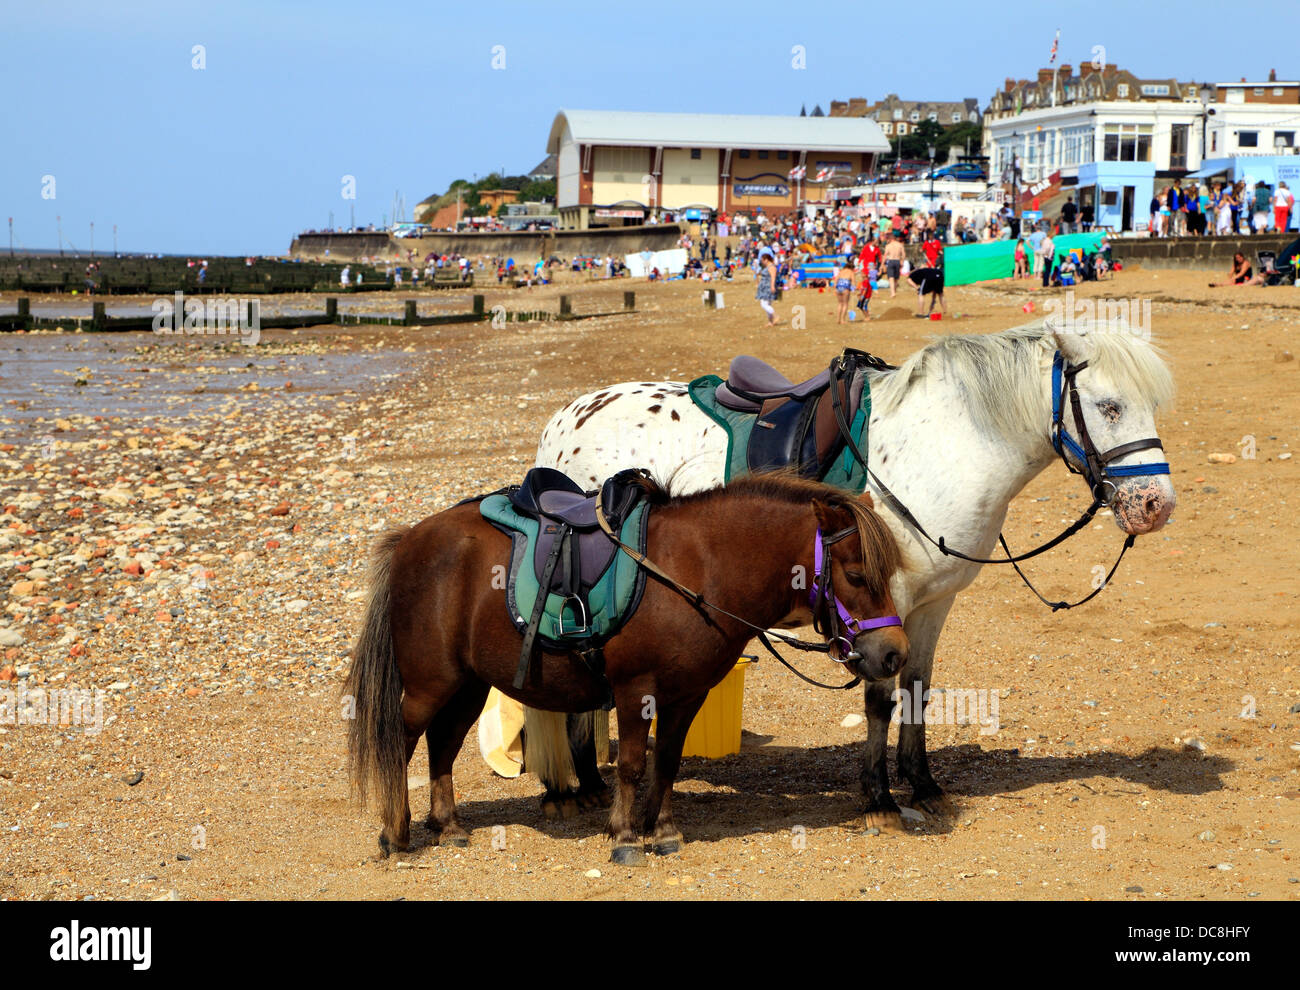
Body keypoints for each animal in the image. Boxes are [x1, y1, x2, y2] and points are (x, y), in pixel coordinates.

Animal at [348, 467, 915, 862]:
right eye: (857, 575)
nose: (894, 653)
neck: (699, 568)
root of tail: (411, 540)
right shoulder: (633, 689)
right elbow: (633, 765)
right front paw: (624, 835)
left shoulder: (687, 696)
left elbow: (666, 762)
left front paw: (662, 831)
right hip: (430, 683)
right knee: (402, 740)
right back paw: (394, 833)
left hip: (466, 685)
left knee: (442, 744)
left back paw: (447, 825)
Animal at [522, 319, 1175, 831]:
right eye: (1110, 407)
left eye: (1150, 406)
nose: (1156, 506)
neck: (948, 444)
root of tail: (565, 419)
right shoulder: (887, 601)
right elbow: (880, 698)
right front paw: (879, 799)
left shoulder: (933, 604)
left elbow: (917, 689)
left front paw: (924, 785)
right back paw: (577, 789)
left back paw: (588, 785)